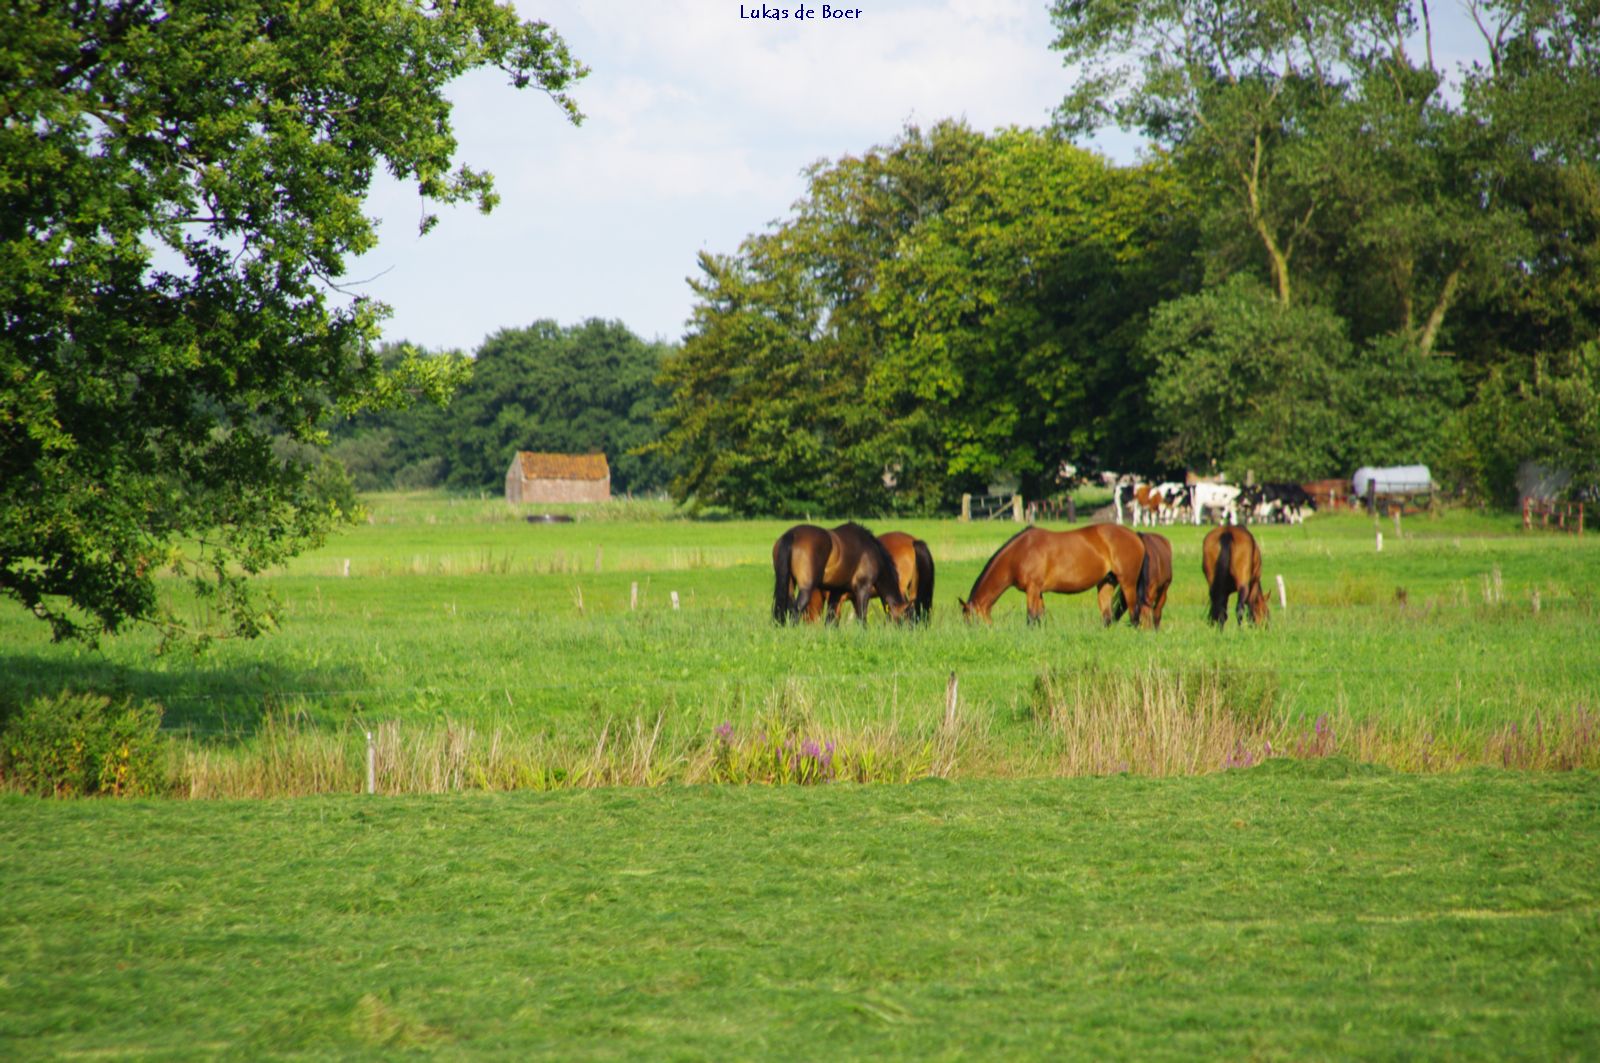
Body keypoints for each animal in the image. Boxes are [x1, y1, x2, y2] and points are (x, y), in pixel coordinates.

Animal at [772, 522, 911, 625]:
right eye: (904, 619)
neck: (870, 551)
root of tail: (792, 535)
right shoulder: (862, 589)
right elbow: (862, 619)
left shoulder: (837, 591)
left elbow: (830, 620)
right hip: (806, 589)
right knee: (796, 610)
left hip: (789, 586)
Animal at [959, 524, 1145, 626]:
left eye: (971, 620)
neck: (1020, 552)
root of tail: (1136, 536)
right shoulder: (1038, 591)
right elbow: (1040, 618)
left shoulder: (1032, 589)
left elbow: (1031, 618)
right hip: (1106, 582)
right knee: (1107, 617)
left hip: (1128, 583)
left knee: (1134, 613)